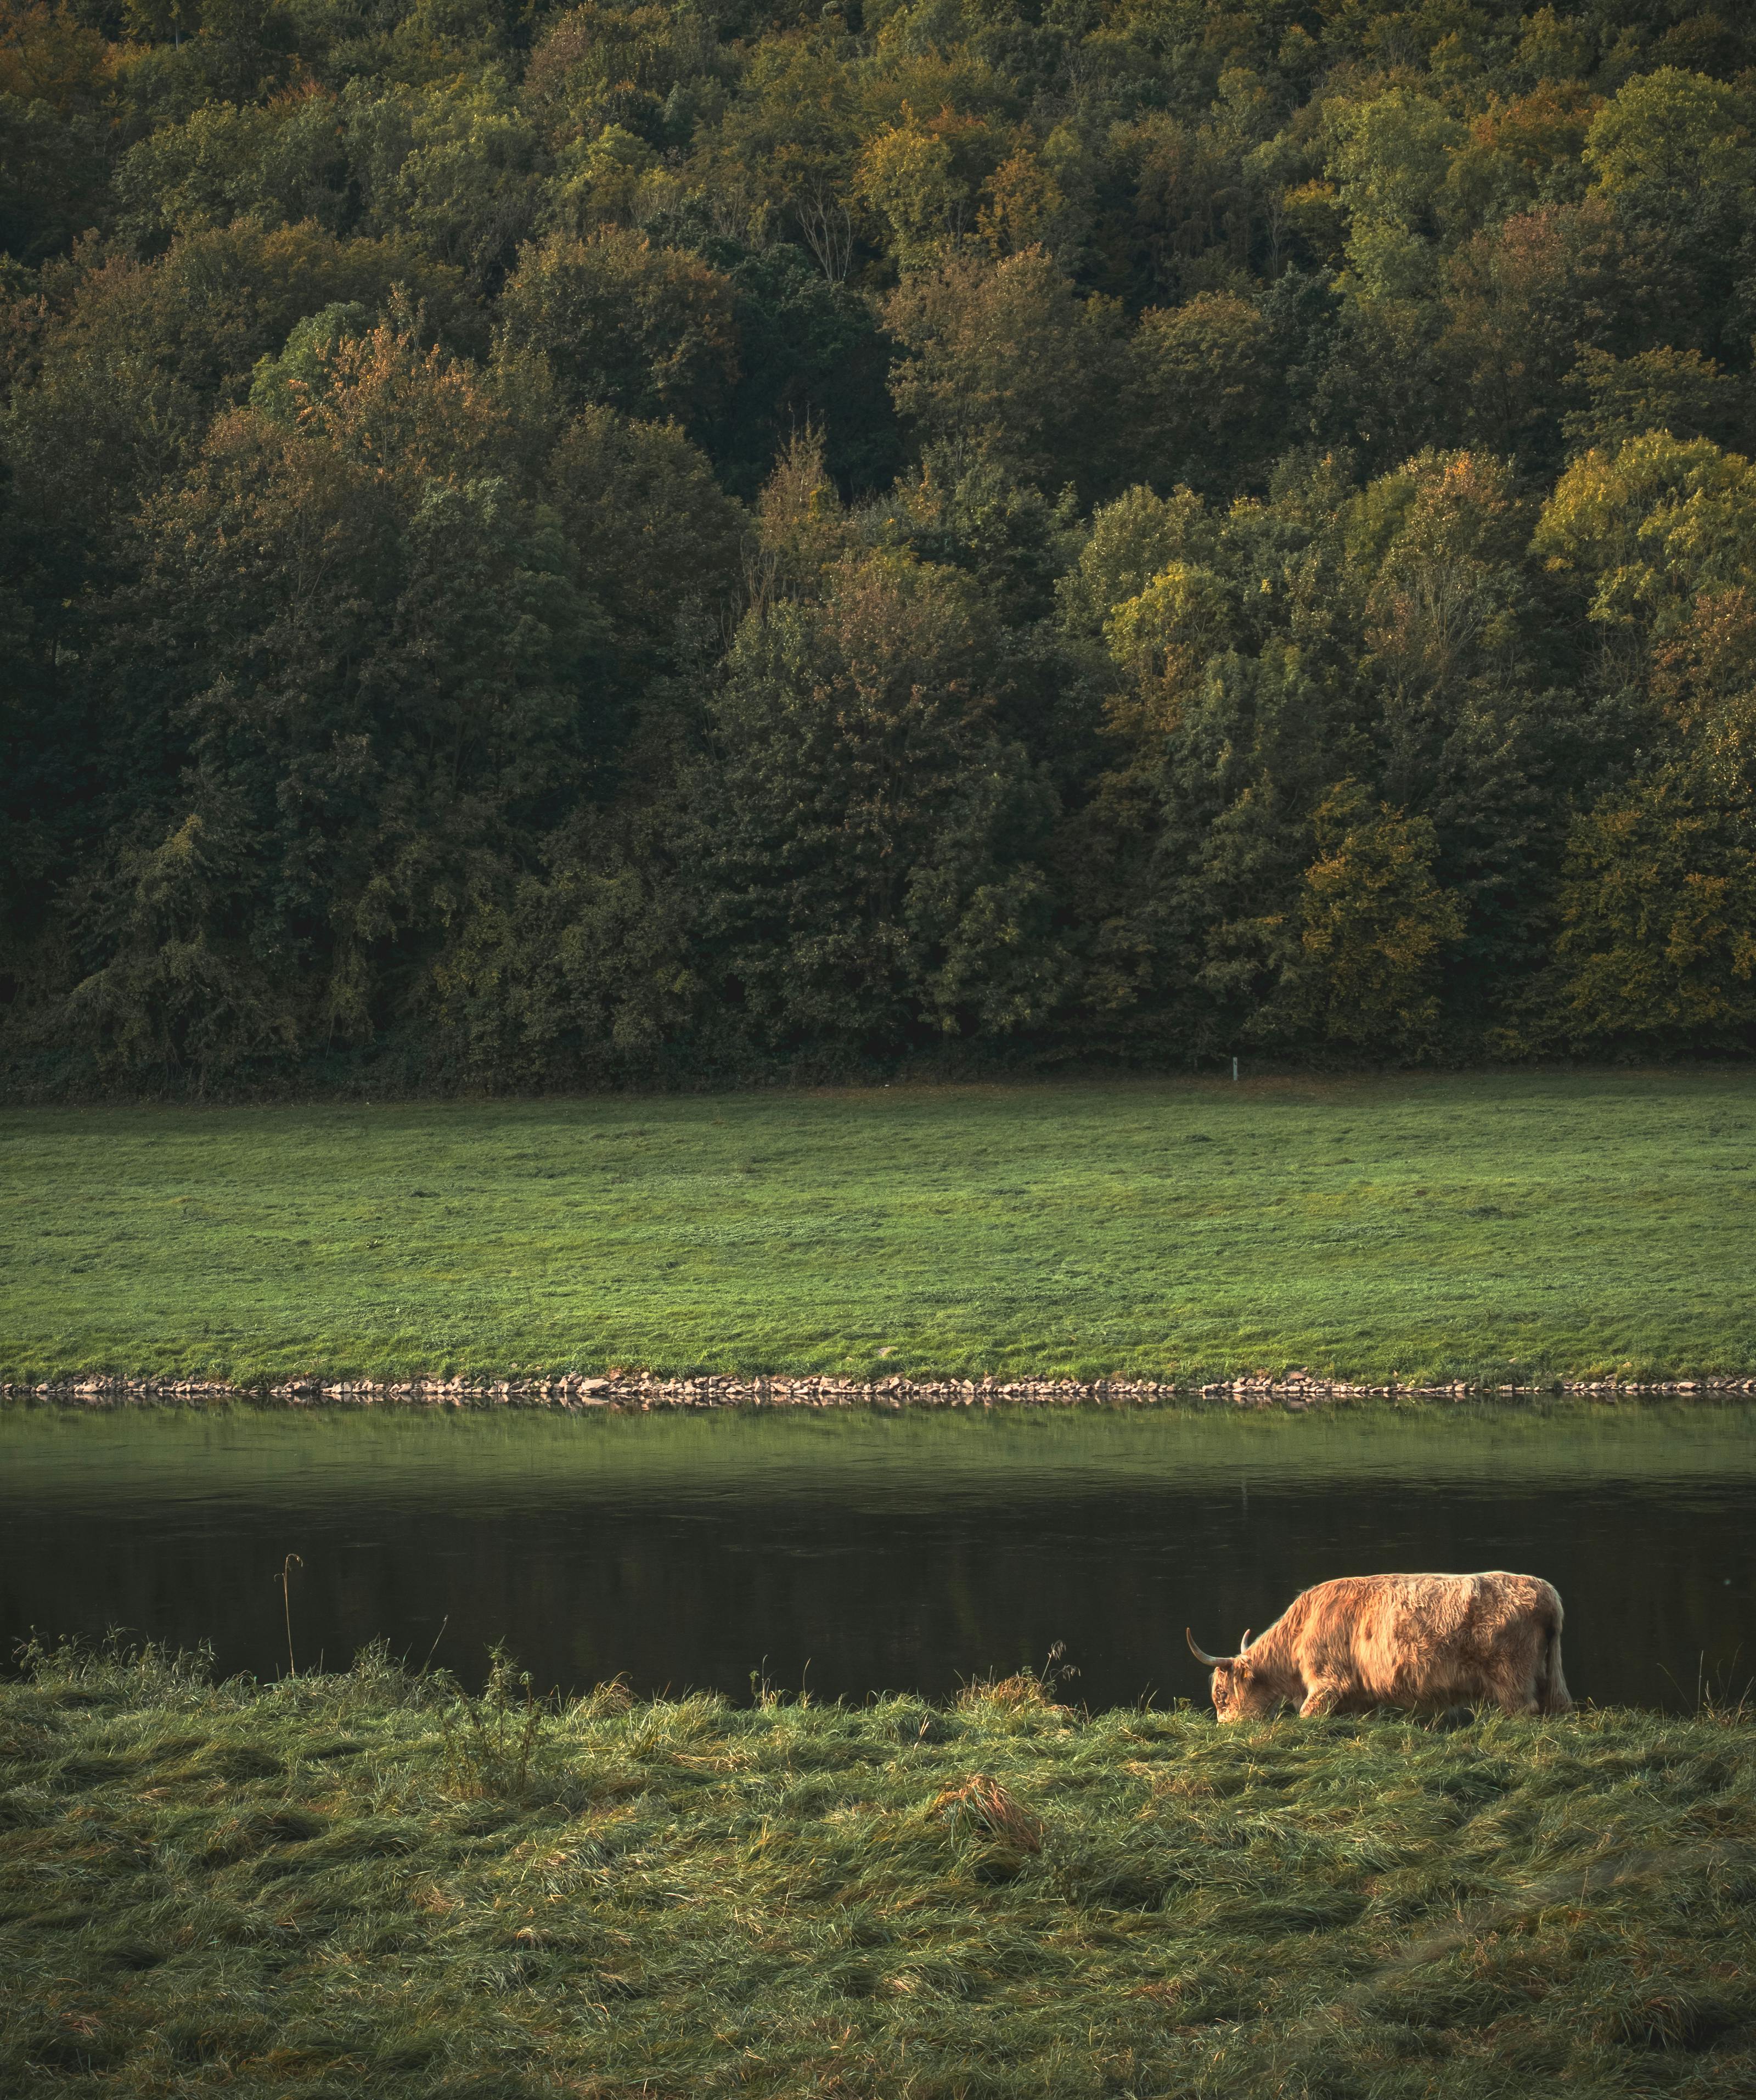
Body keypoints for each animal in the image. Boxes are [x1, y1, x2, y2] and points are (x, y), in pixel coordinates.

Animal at [1184, 1579, 1571, 1722]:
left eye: (1221, 1695)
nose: (1225, 1728)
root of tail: (1546, 1591)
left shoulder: (1328, 1682)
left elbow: (1308, 1714)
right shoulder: (1358, 1696)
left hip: (1512, 1680)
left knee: (1523, 1710)